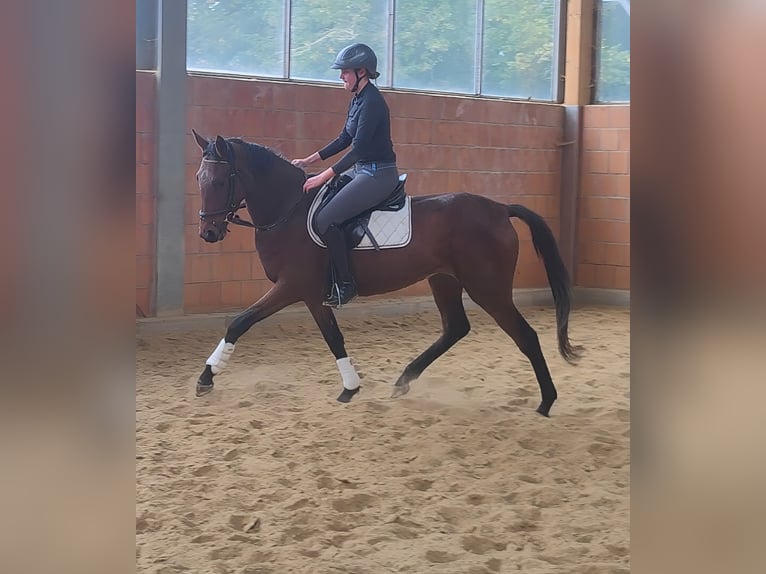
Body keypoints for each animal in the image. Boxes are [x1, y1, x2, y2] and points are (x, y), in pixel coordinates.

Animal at [191, 129, 580, 417]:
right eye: (199, 178)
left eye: (220, 180)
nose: (208, 233)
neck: (290, 211)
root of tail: (499, 209)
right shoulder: (312, 295)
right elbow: (330, 337)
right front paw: (351, 388)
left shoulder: (294, 287)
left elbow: (242, 323)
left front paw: (207, 377)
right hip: (444, 280)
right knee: (455, 328)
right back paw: (403, 380)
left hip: (488, 288)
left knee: (525, 336)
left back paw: (546, 402)